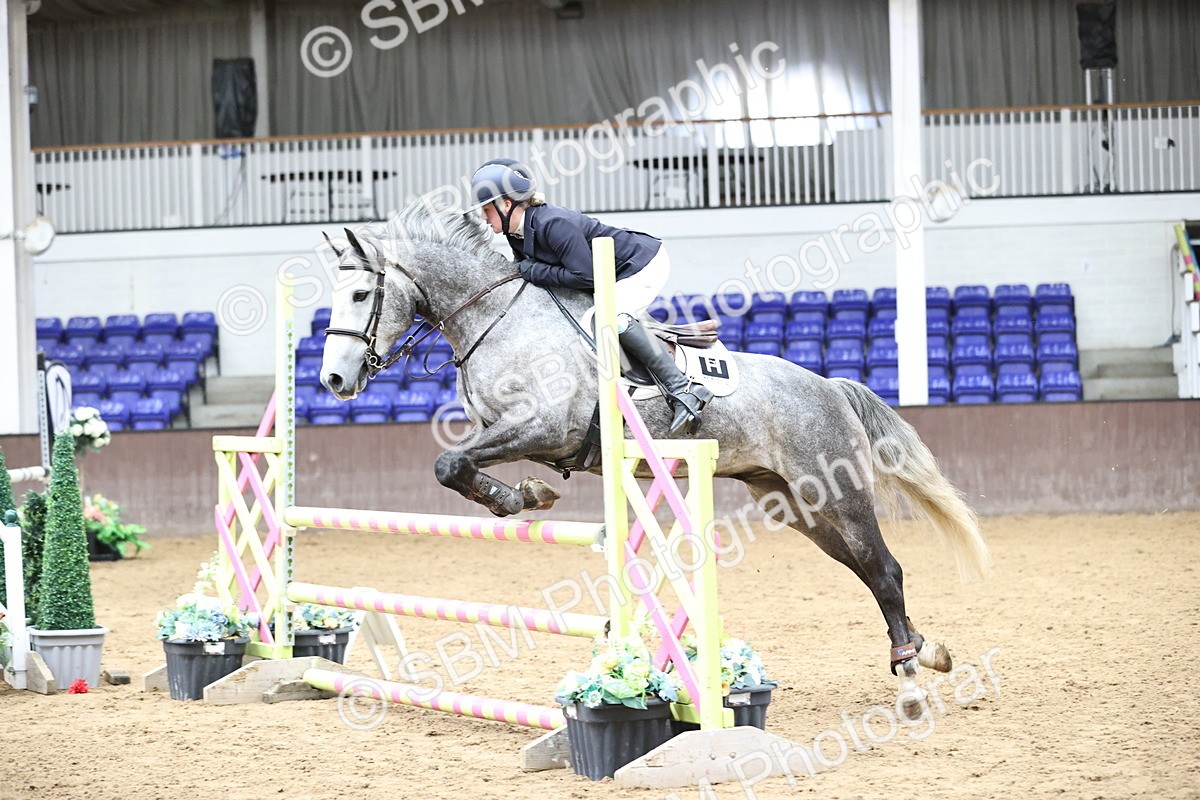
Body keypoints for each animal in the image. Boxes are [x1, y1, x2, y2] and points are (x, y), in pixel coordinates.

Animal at [317, 200, 990, 715]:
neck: (495, 316)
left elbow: (451, 465)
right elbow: (458, 462)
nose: (333, 380)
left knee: (885, 569)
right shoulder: (496, 427)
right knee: (867, 570)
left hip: (836, 491)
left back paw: (910, 683)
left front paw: (524, 496)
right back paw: (926, 650)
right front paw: (527, 495)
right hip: (796, 505)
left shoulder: (545, 427)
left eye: (361, 293)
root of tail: (830, 386)